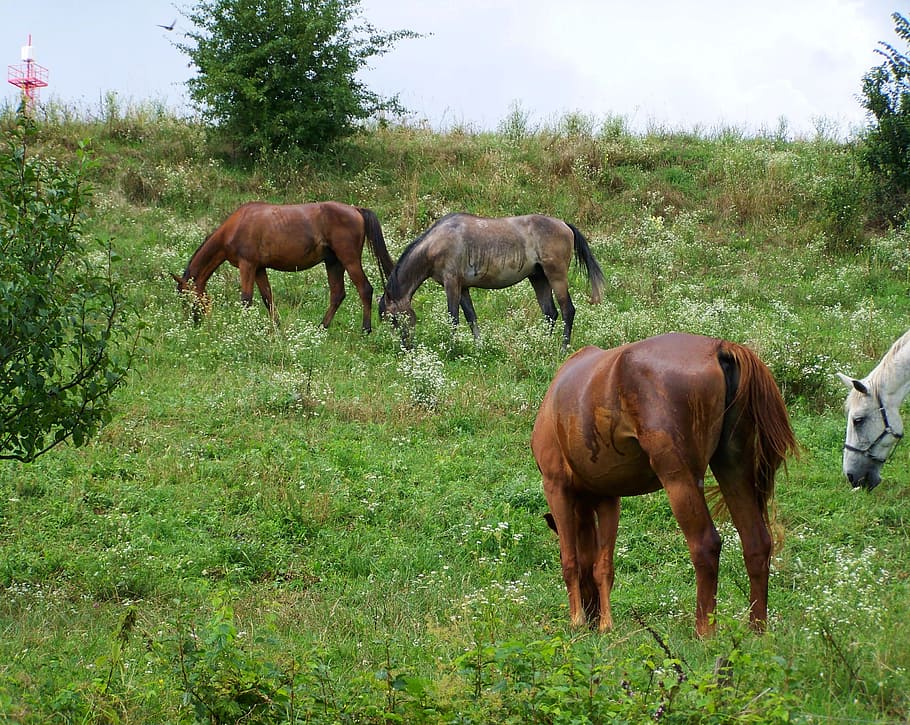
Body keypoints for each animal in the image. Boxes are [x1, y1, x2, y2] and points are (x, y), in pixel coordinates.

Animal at [172, 201, 395, 332]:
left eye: (185, 296)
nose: (193, 322)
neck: (236, 226)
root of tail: (356, 210)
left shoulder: (247, 265)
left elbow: (246, 299)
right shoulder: (259, 269)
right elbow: (267, 298)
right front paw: (277, 326)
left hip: (348, 260)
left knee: (364, 289)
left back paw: (365, 329)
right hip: (333, 263)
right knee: (337, 294)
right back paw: (321, 327)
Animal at [377, 213, 605, 348]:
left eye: (393, 318)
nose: (404, 346)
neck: (437, 243)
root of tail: (564, 224)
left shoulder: (452, 284)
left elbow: (453, 318)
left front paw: (451, 346)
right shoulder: (463, 287)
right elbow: (471, 317)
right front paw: (479, 346)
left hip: (556, 276)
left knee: (567, 310)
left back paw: (563, 348)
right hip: (538, 278)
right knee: (550, 313)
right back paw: (543, 344)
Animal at [531, 333, 798, 637]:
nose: (591, 613)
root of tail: (719, 347)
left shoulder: (557, 487)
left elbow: (570, 561)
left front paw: (577, 621)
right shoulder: (608, 498)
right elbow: (602, 565)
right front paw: (604, 624)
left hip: (680, 481)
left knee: (706, 545)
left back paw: (704, 632)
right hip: (734, 470)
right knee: (756, 543)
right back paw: (756, 630)